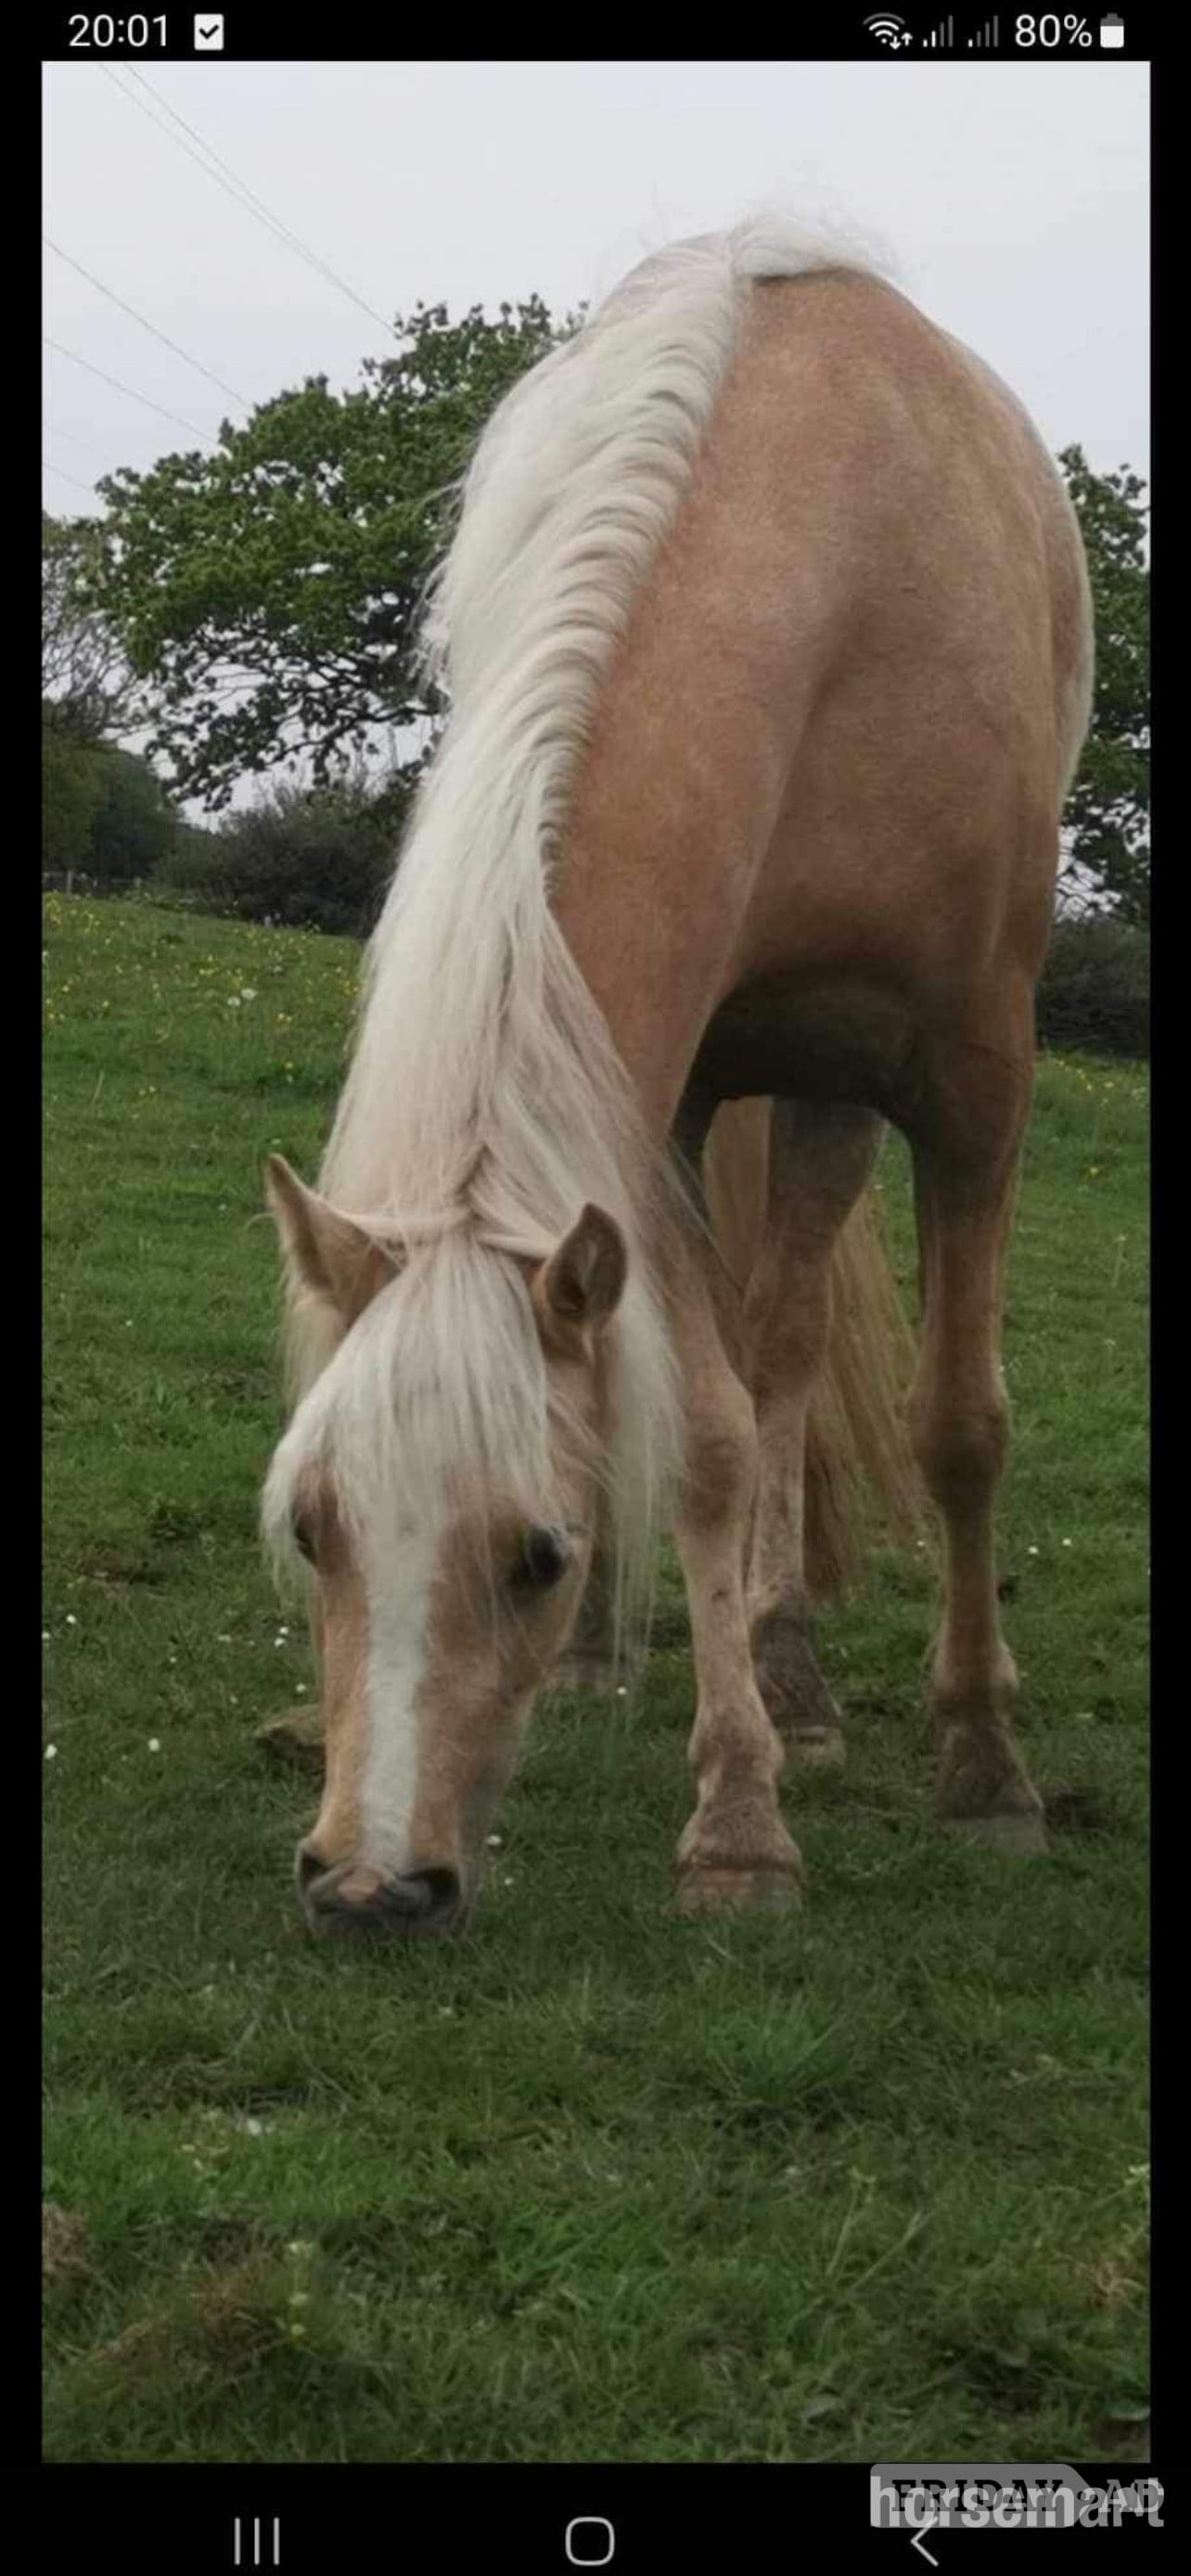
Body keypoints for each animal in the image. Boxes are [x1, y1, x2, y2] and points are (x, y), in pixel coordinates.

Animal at [262, 216, 1093, 1937]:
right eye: (312, 1528)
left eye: (530, 1550)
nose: (367, 1883)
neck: (839, 572)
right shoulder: (647, 1111)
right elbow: (705, 1439)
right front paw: (736, 1814)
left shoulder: (974, 1077)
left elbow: (958, 1422)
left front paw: (983, 1766)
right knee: (731, 1371)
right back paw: (673, 1669)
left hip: (835, 1086)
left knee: (794, 1352)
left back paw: (801, 1672)